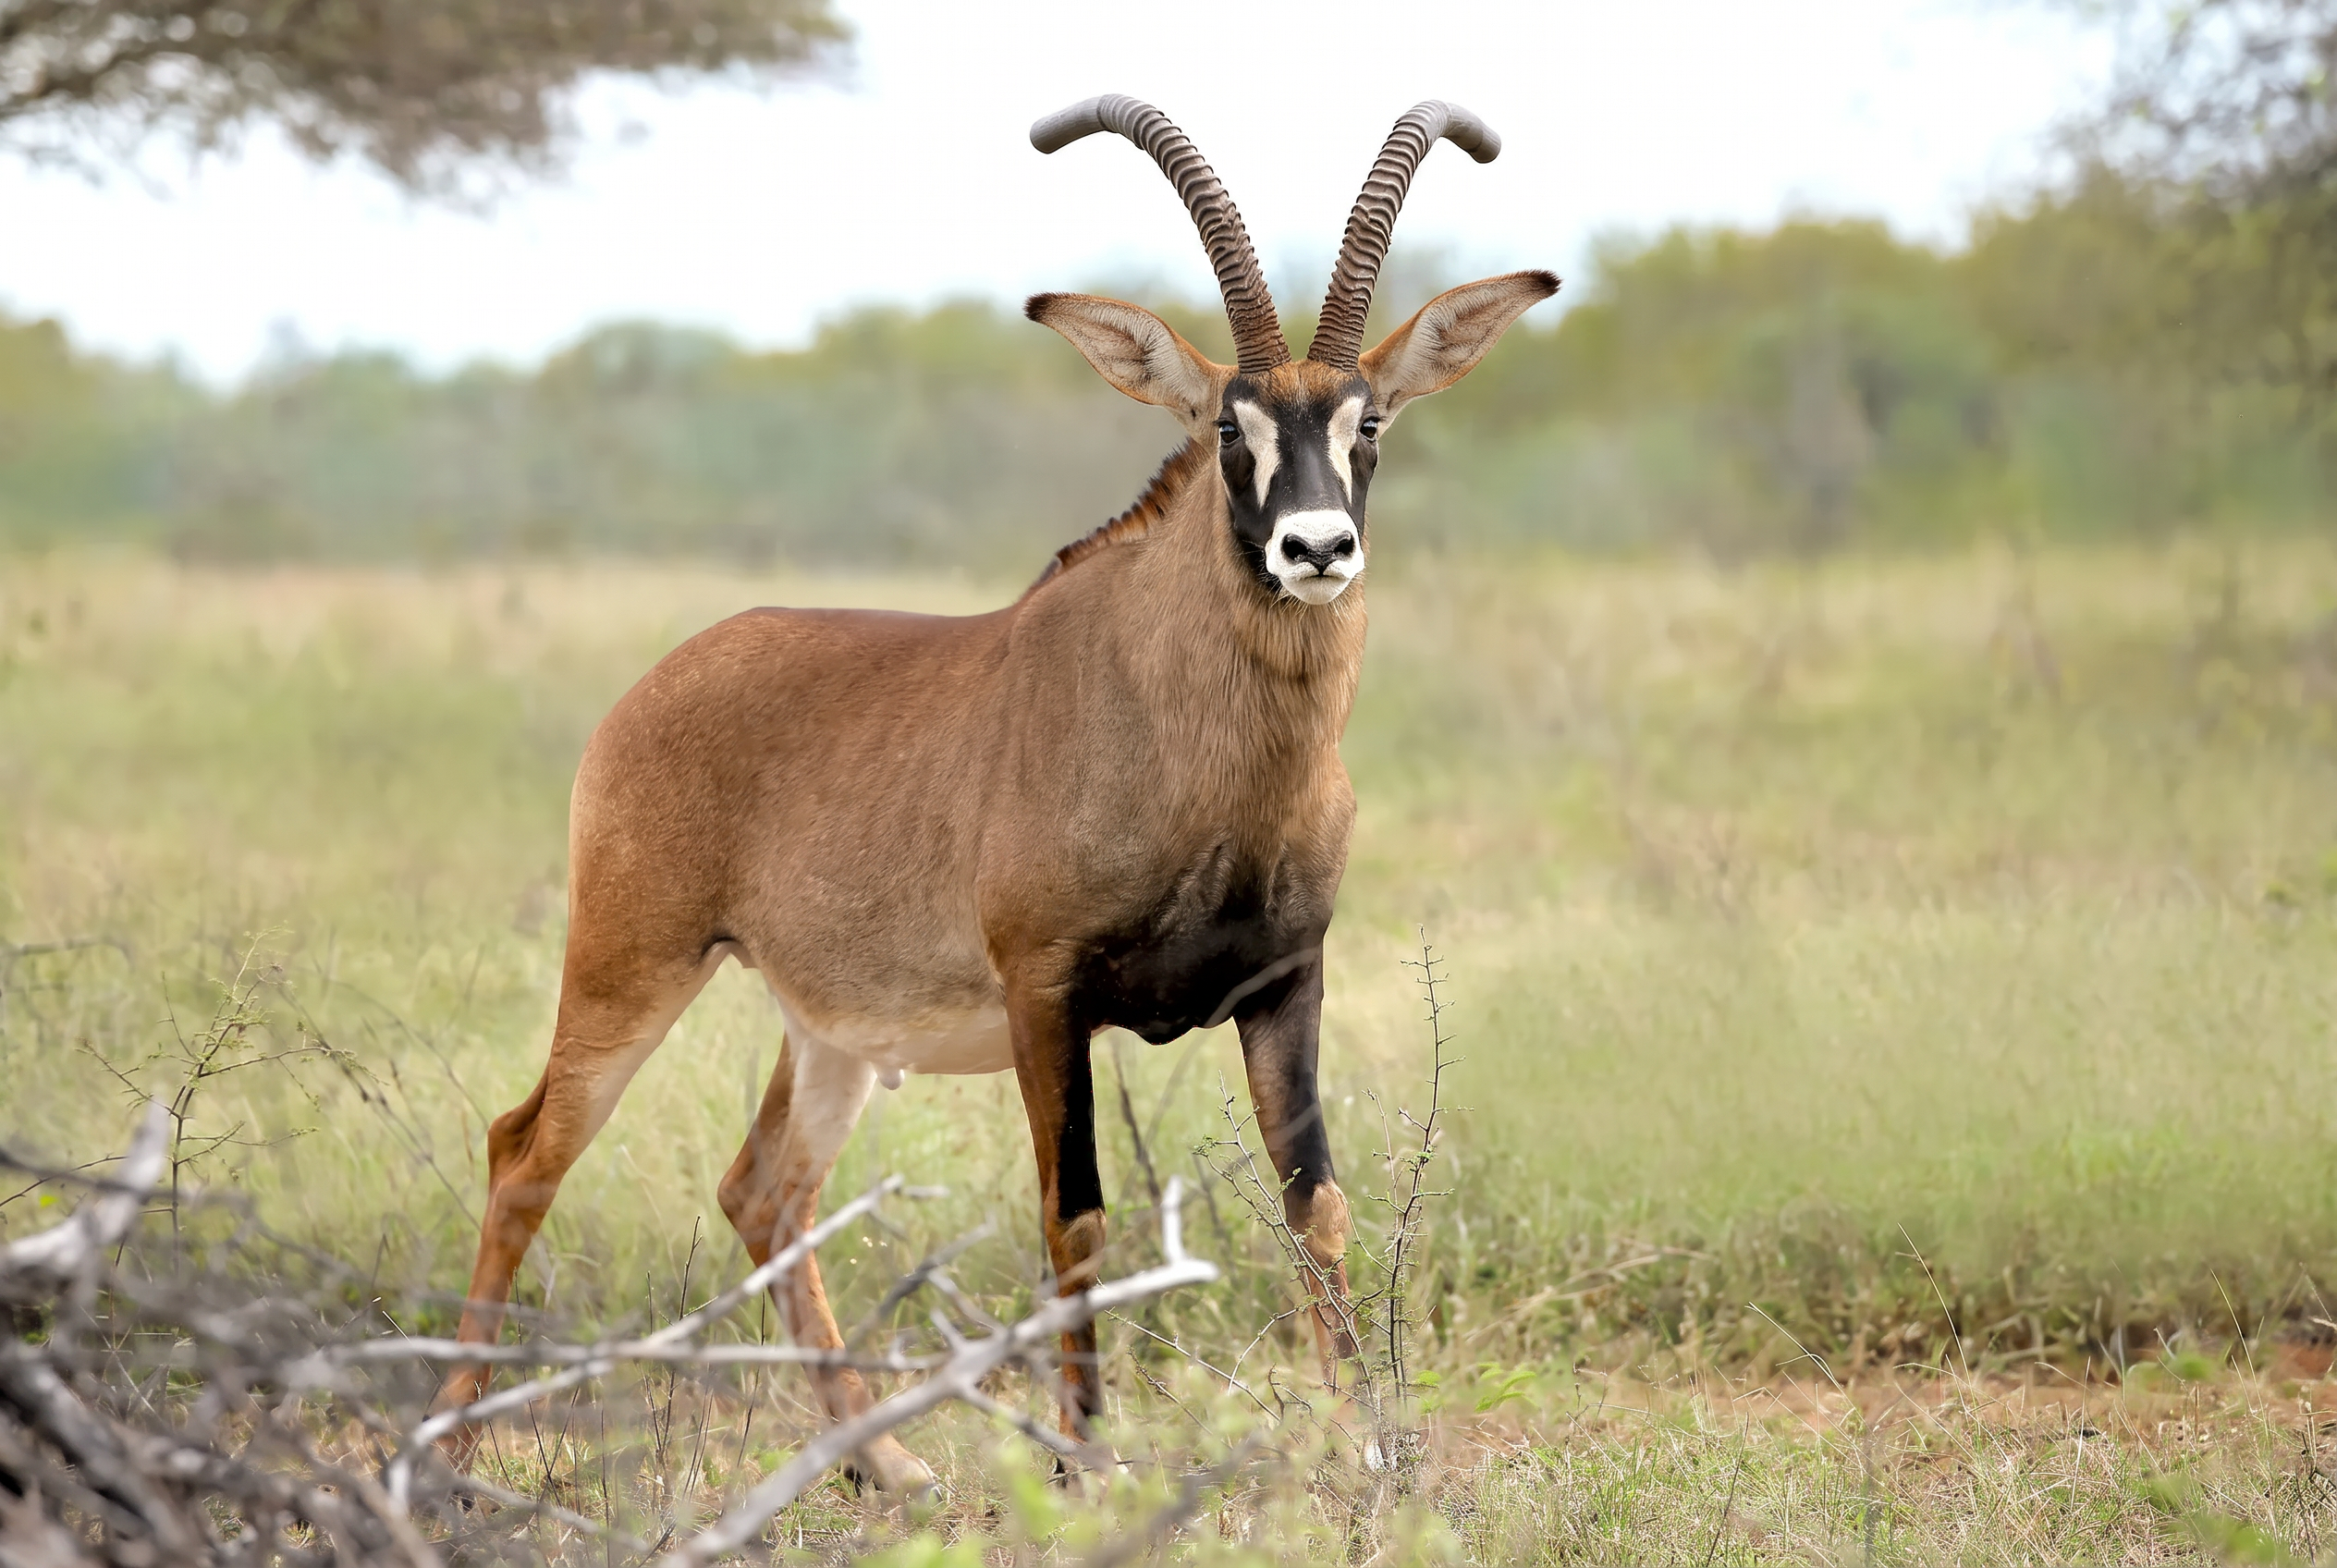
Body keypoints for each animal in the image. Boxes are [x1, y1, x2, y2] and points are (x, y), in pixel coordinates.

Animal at [436, 95, 1557, 1494]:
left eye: (1369, 424)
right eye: (1227, 428)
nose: (1315, 549)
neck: (1202, 751)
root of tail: (658, 683)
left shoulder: (1284, 982)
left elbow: (1318, 1208)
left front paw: (1370, 1461)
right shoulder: (1046, 994)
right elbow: (1073, 1216)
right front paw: (1084, 1460)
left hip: (830, 1031)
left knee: (762, 1186)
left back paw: (886, 1464)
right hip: (629, 963)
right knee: (525, 1149)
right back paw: (450, 1445)